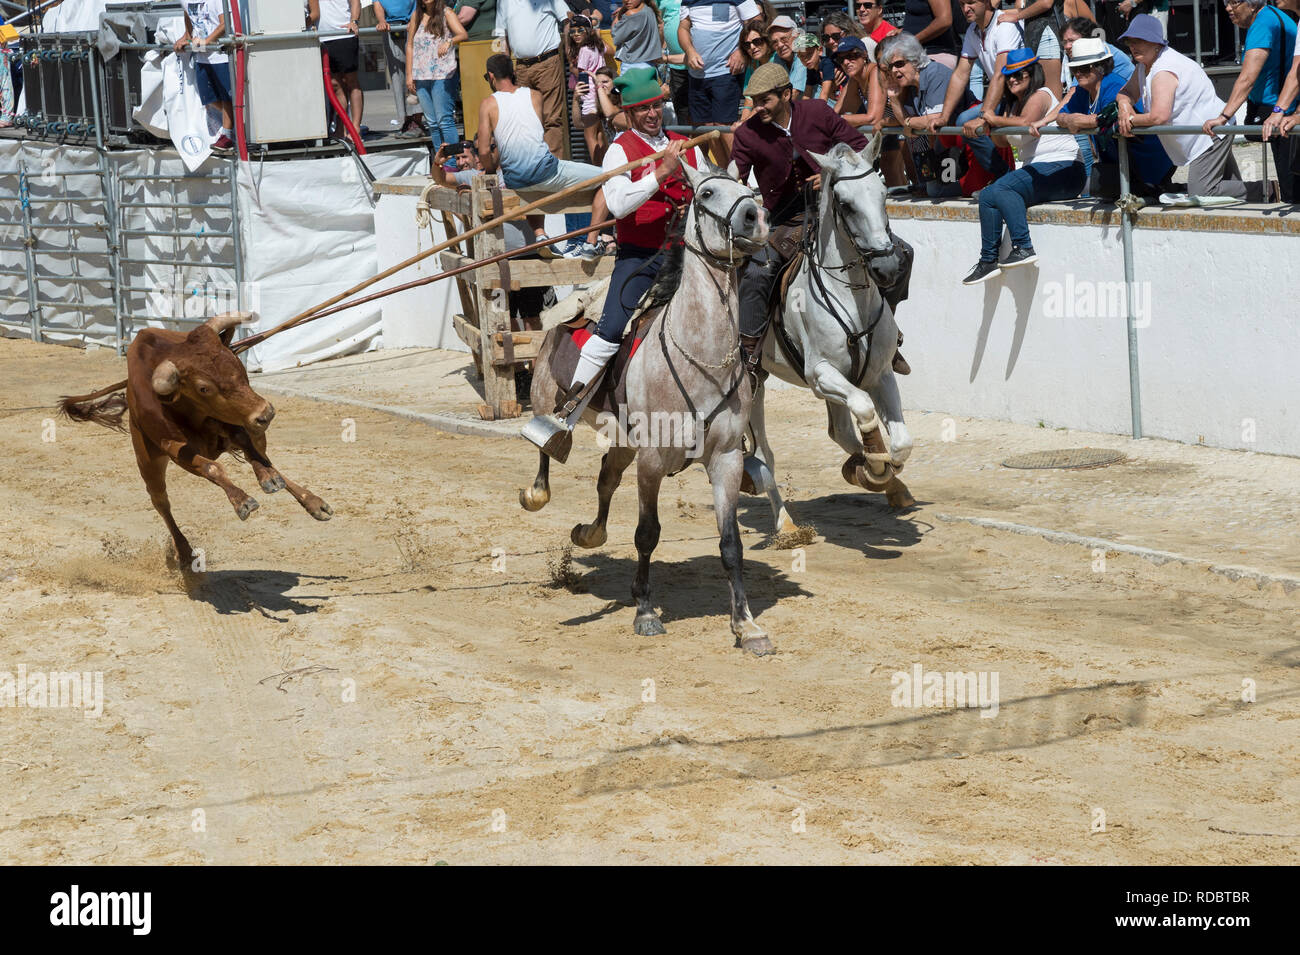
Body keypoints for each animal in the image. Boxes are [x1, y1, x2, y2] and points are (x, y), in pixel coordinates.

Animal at [58, 314, 332, 566]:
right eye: (203, 388)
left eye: (236, 362)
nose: (266, 412)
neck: (186, 408)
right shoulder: (175, 448)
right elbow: (212, 467)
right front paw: (242, 501)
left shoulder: (233, 423)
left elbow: (251, 449)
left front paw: (269, 478)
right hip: (147, 461)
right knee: (161, 502)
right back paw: (184, 551)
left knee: (262, 454)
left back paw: (312, 502)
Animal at [522, 164, 774, 654]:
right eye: (706, 193)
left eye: (748, 189)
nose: (754, 218)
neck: (700, 357)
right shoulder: (653, 462)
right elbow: (647, 534)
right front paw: (645, 612)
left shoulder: (727, 460)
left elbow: (730, 545)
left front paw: (746, 625)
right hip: (548, 396)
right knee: (546, 446)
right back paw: (539, 488)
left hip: (624, 441)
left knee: (605, 476)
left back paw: (590, 533)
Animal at [743, 132, 915, 537]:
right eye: (845, 204)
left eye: (883, 193)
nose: (887, 266)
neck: (850, 297)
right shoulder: (820, 374)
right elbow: (865, 410)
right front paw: (872, 467)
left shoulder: (879, 373)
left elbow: (900, 442)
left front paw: (882, 472)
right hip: (750, 383)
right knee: (763, 454)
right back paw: (785, 524)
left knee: (839, 433)